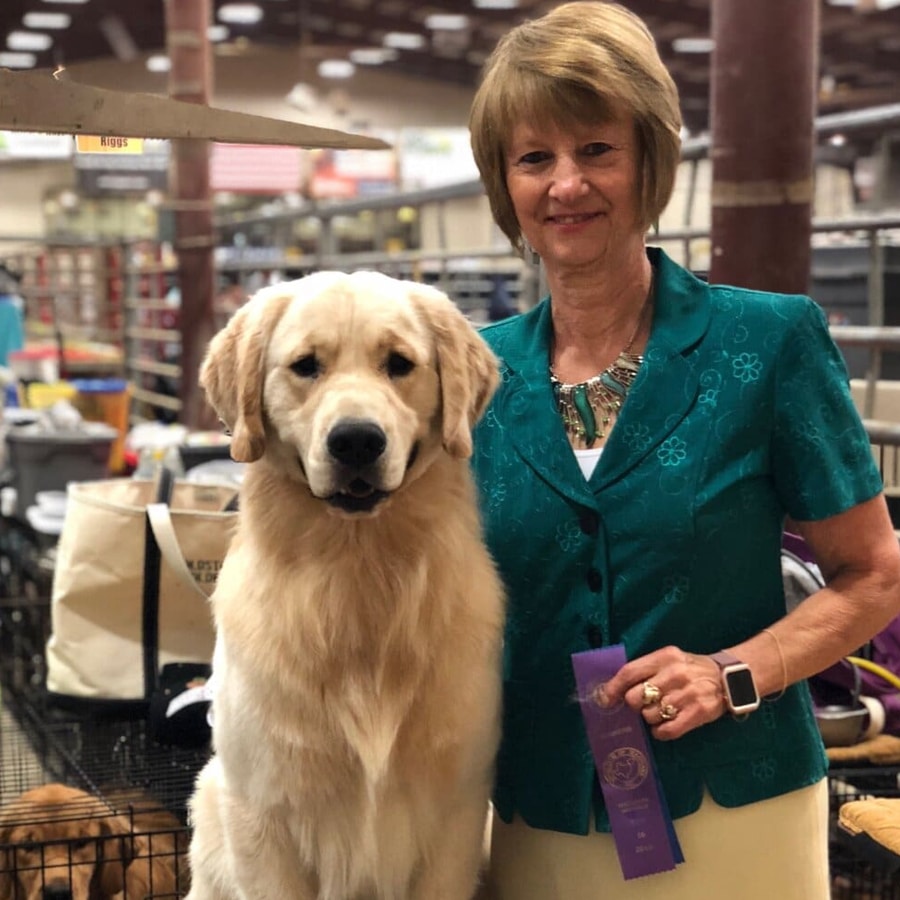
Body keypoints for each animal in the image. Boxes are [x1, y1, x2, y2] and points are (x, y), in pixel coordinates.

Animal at [185, 272, 506, 900]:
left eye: (399, 364)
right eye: (306, 365)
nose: (356, 440)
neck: (359, 574)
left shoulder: (456, 813)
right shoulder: (263, 813)